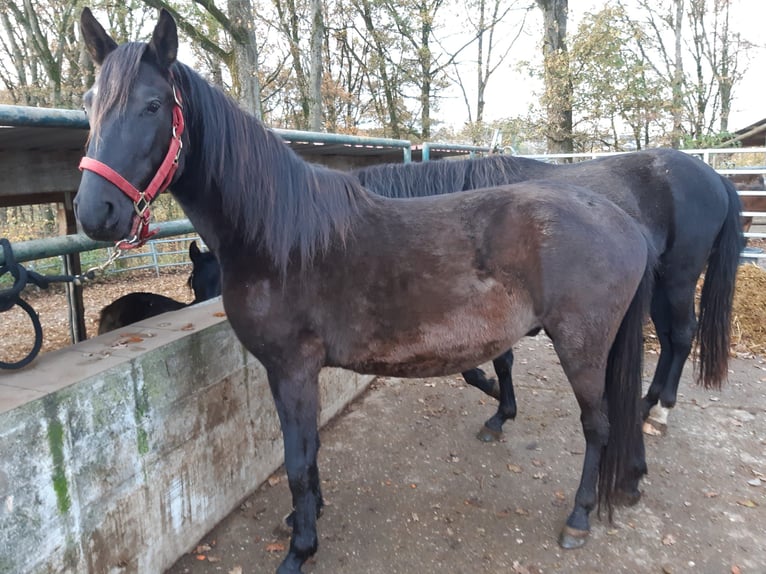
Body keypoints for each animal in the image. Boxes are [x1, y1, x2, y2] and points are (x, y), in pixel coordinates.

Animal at [75, 9, 655, 572]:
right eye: (89, 104)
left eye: (152, 105)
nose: (94, 211)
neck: (278, 236)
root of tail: (624, 221)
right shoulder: (294, 373)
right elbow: (307, 454)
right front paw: (305, 519)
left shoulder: (292, 369)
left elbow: (297, 461)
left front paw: (301, 548)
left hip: (581, 347)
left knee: (597, 425)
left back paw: (579, 517)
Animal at [353, 149, 743, 438]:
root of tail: (716, 178)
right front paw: (497, 398)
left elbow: (499, 363)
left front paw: (500, 411)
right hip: (660, 283)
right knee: (666, 338)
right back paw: (647, 404)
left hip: (679, 279)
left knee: (681, 335)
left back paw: (660, 414)